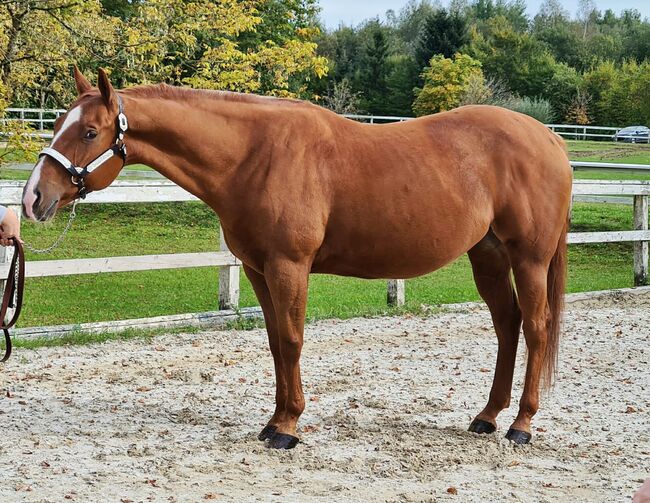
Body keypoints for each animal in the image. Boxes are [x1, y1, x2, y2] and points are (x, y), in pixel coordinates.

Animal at [20, 69, 568, 450]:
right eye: (61, 123)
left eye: (90, 132)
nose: (33, 198)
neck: (253, 155)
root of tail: (548, 137)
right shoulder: (260, 270)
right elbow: (275, 344)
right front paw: (274, 421)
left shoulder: (289, 266)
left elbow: (291, 339)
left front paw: (288, 427)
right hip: (488, 256)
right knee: (507, 324)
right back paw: (487, 416)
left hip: (530, 259)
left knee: (536, 326)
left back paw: (521, 424)